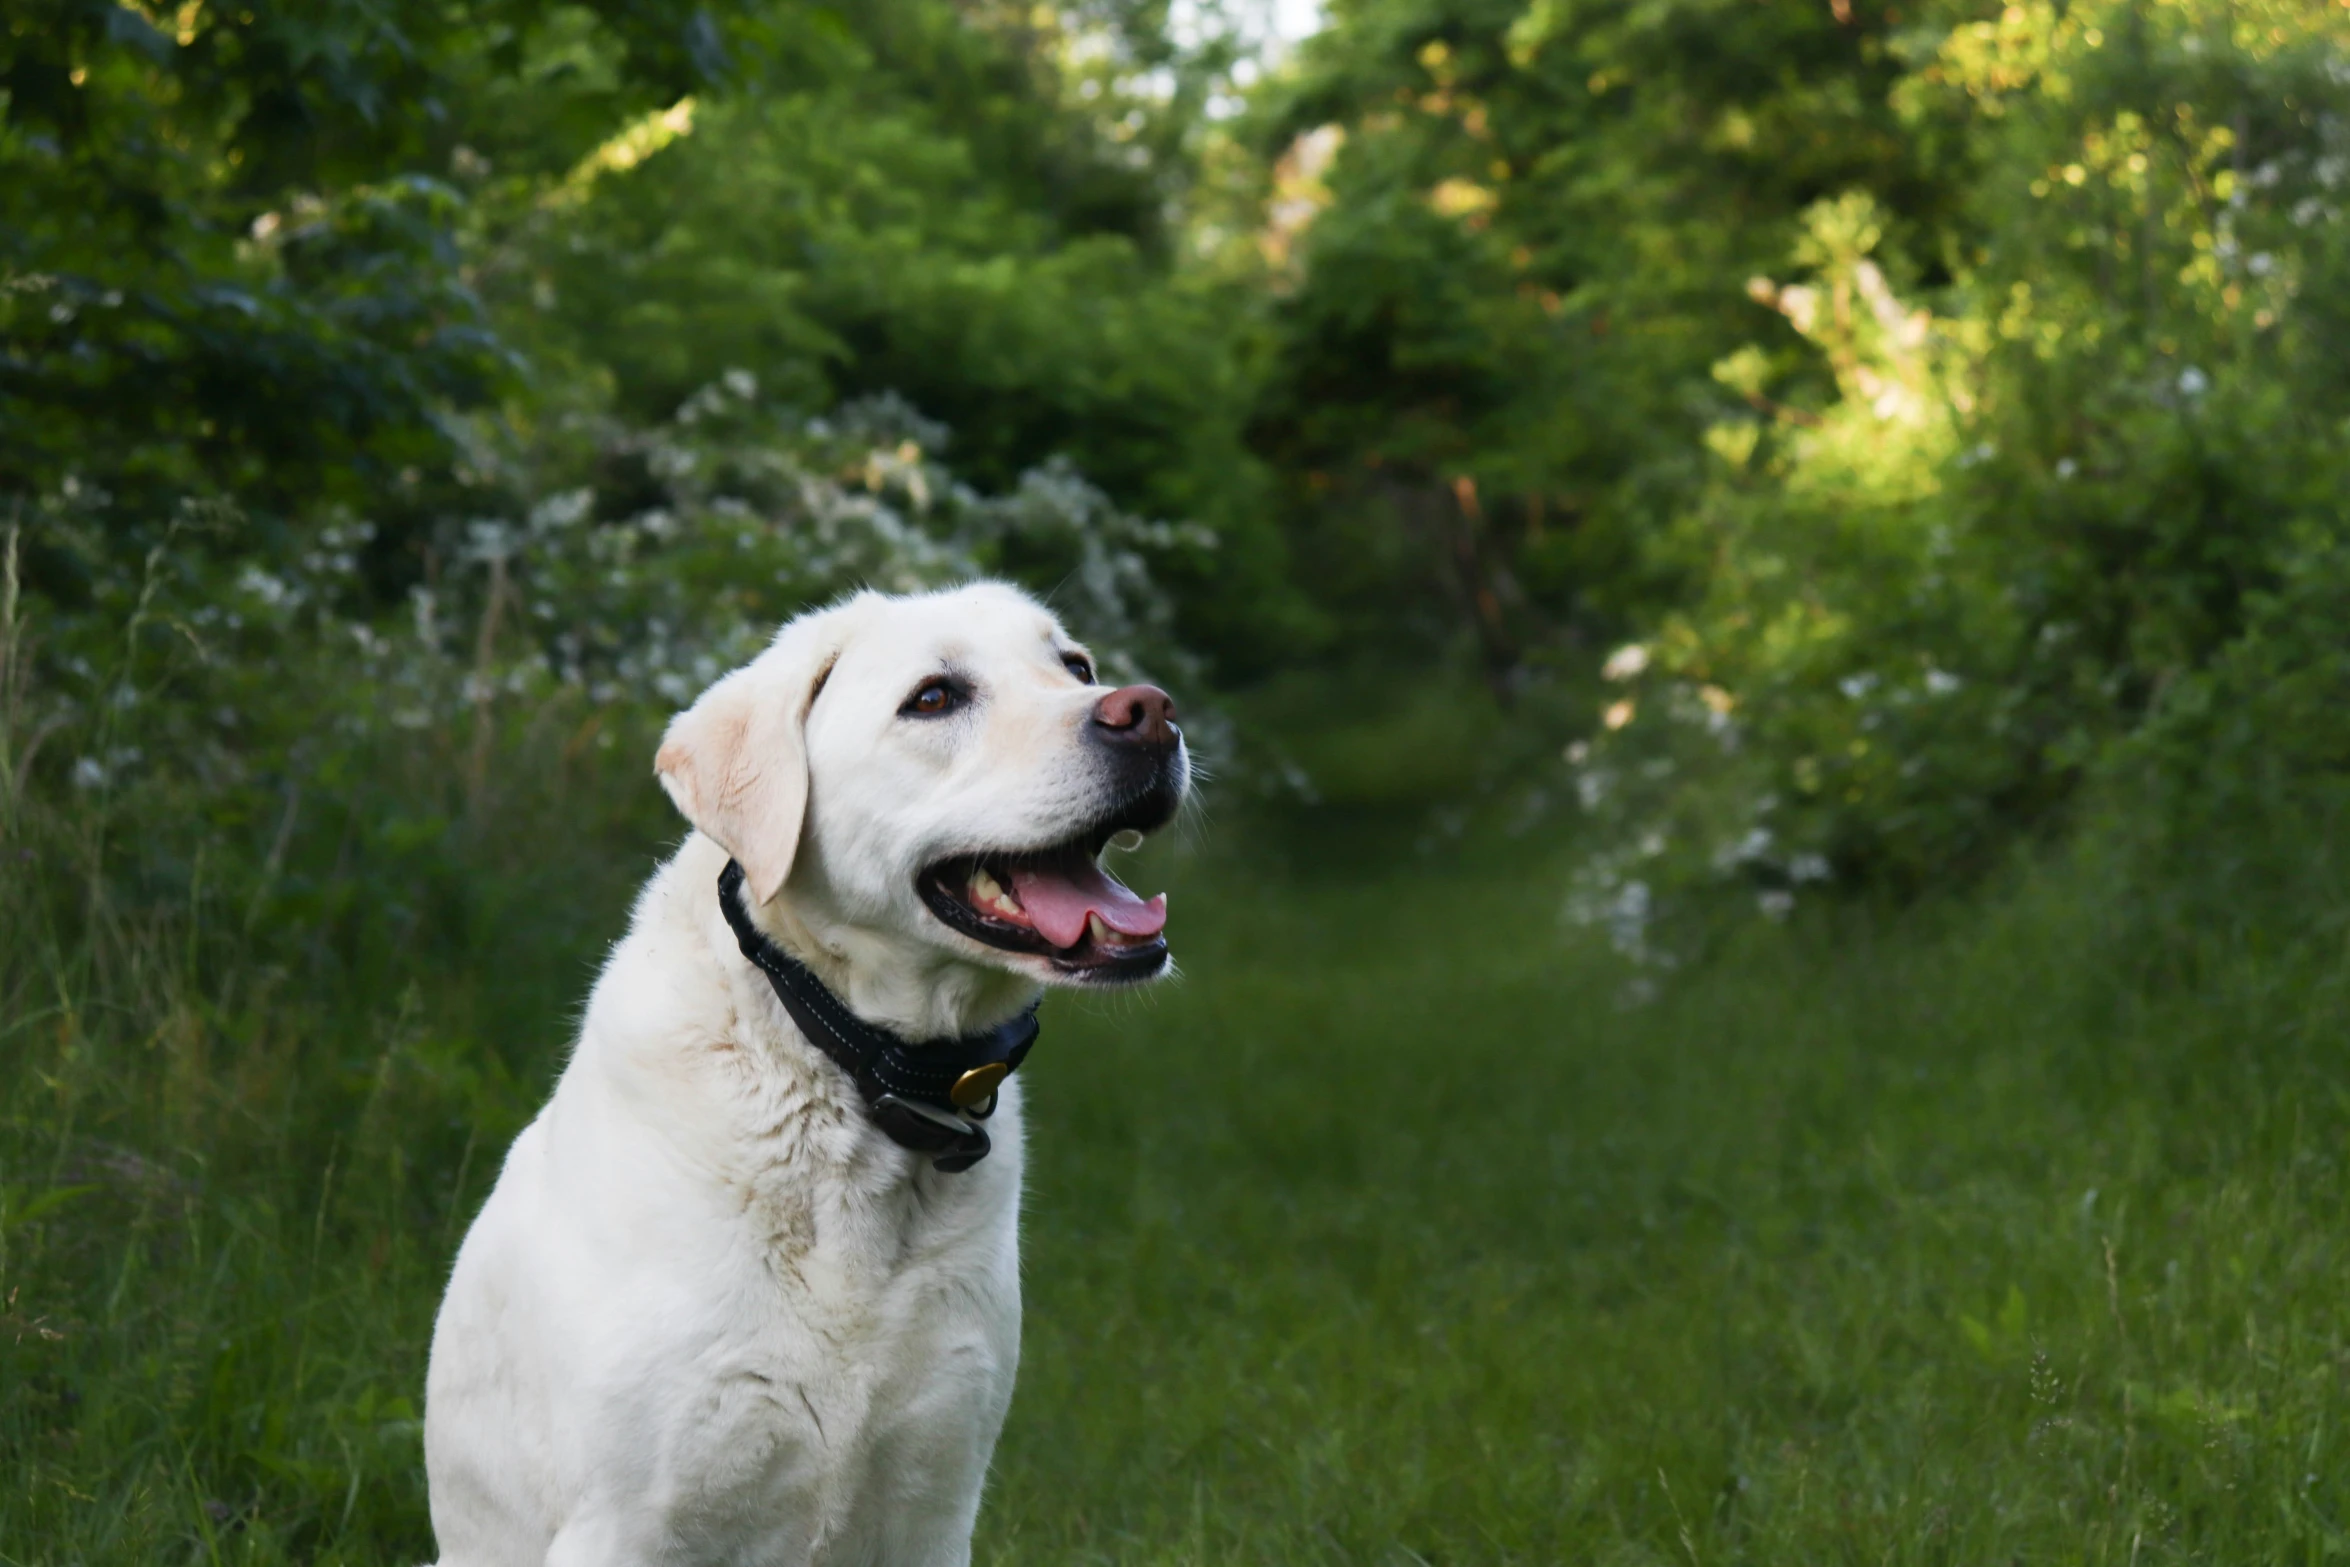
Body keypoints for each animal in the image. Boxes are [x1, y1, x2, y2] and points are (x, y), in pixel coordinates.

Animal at [422, 582, 1184, 1559]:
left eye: (1076, 666)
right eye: (934, 697)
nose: (1150, 711)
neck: (859, 1075)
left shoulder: (938, 1497)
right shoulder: (623, 1518)